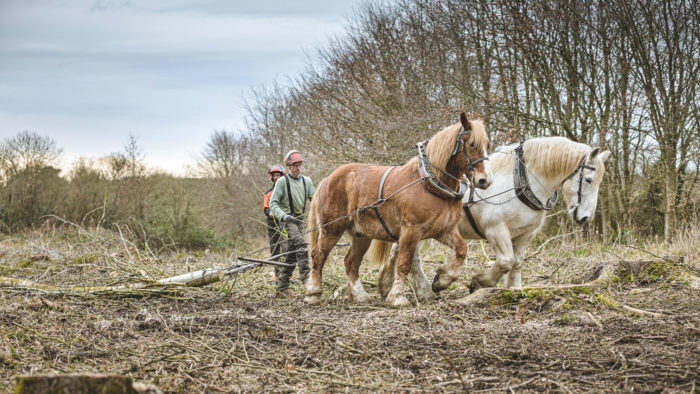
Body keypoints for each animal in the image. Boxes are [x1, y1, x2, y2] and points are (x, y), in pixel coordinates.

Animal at [304, 112, 492, 306]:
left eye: (488, 145)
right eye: (472, 144)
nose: (484, 180)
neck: (430, 183)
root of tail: (327, 179)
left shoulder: (443, 230)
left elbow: (461, 250)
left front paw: (442, 280)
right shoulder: (410, 231)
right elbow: (403, 263)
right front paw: (398, 297)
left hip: (361, 234)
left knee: (351, 262)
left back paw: (359, 295)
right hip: (332, 228)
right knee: (318, 255)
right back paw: (313, 293)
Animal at [374, 136, 608, 298]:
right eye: (588, 179)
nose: (585, 217)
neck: (518, 182)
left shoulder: (525, 234)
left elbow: (517, 262)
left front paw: (514, 288)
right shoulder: (496, 230)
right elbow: (506, 261)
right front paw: (479, 281)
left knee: (398, 251)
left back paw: (388, 285)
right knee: (411, 256)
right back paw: (425, 288)